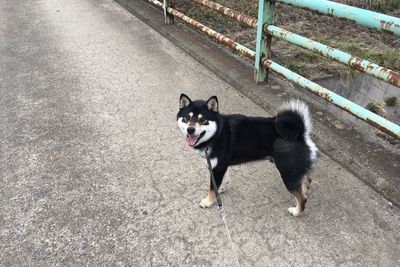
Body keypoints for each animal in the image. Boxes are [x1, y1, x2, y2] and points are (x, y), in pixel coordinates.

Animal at [177, 94, 318, 218]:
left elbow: (212, 188)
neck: (217, 133)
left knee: (302, 197)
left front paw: (208, 201)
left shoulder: (217, 168)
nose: (190, 130)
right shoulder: (220, 166)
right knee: (307, 181)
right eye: (186, 118)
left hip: (288, 174)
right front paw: (221, 188)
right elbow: (222, 180)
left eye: (203, 120)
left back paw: (297, 211)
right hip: (295, 171)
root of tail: (301, 134)